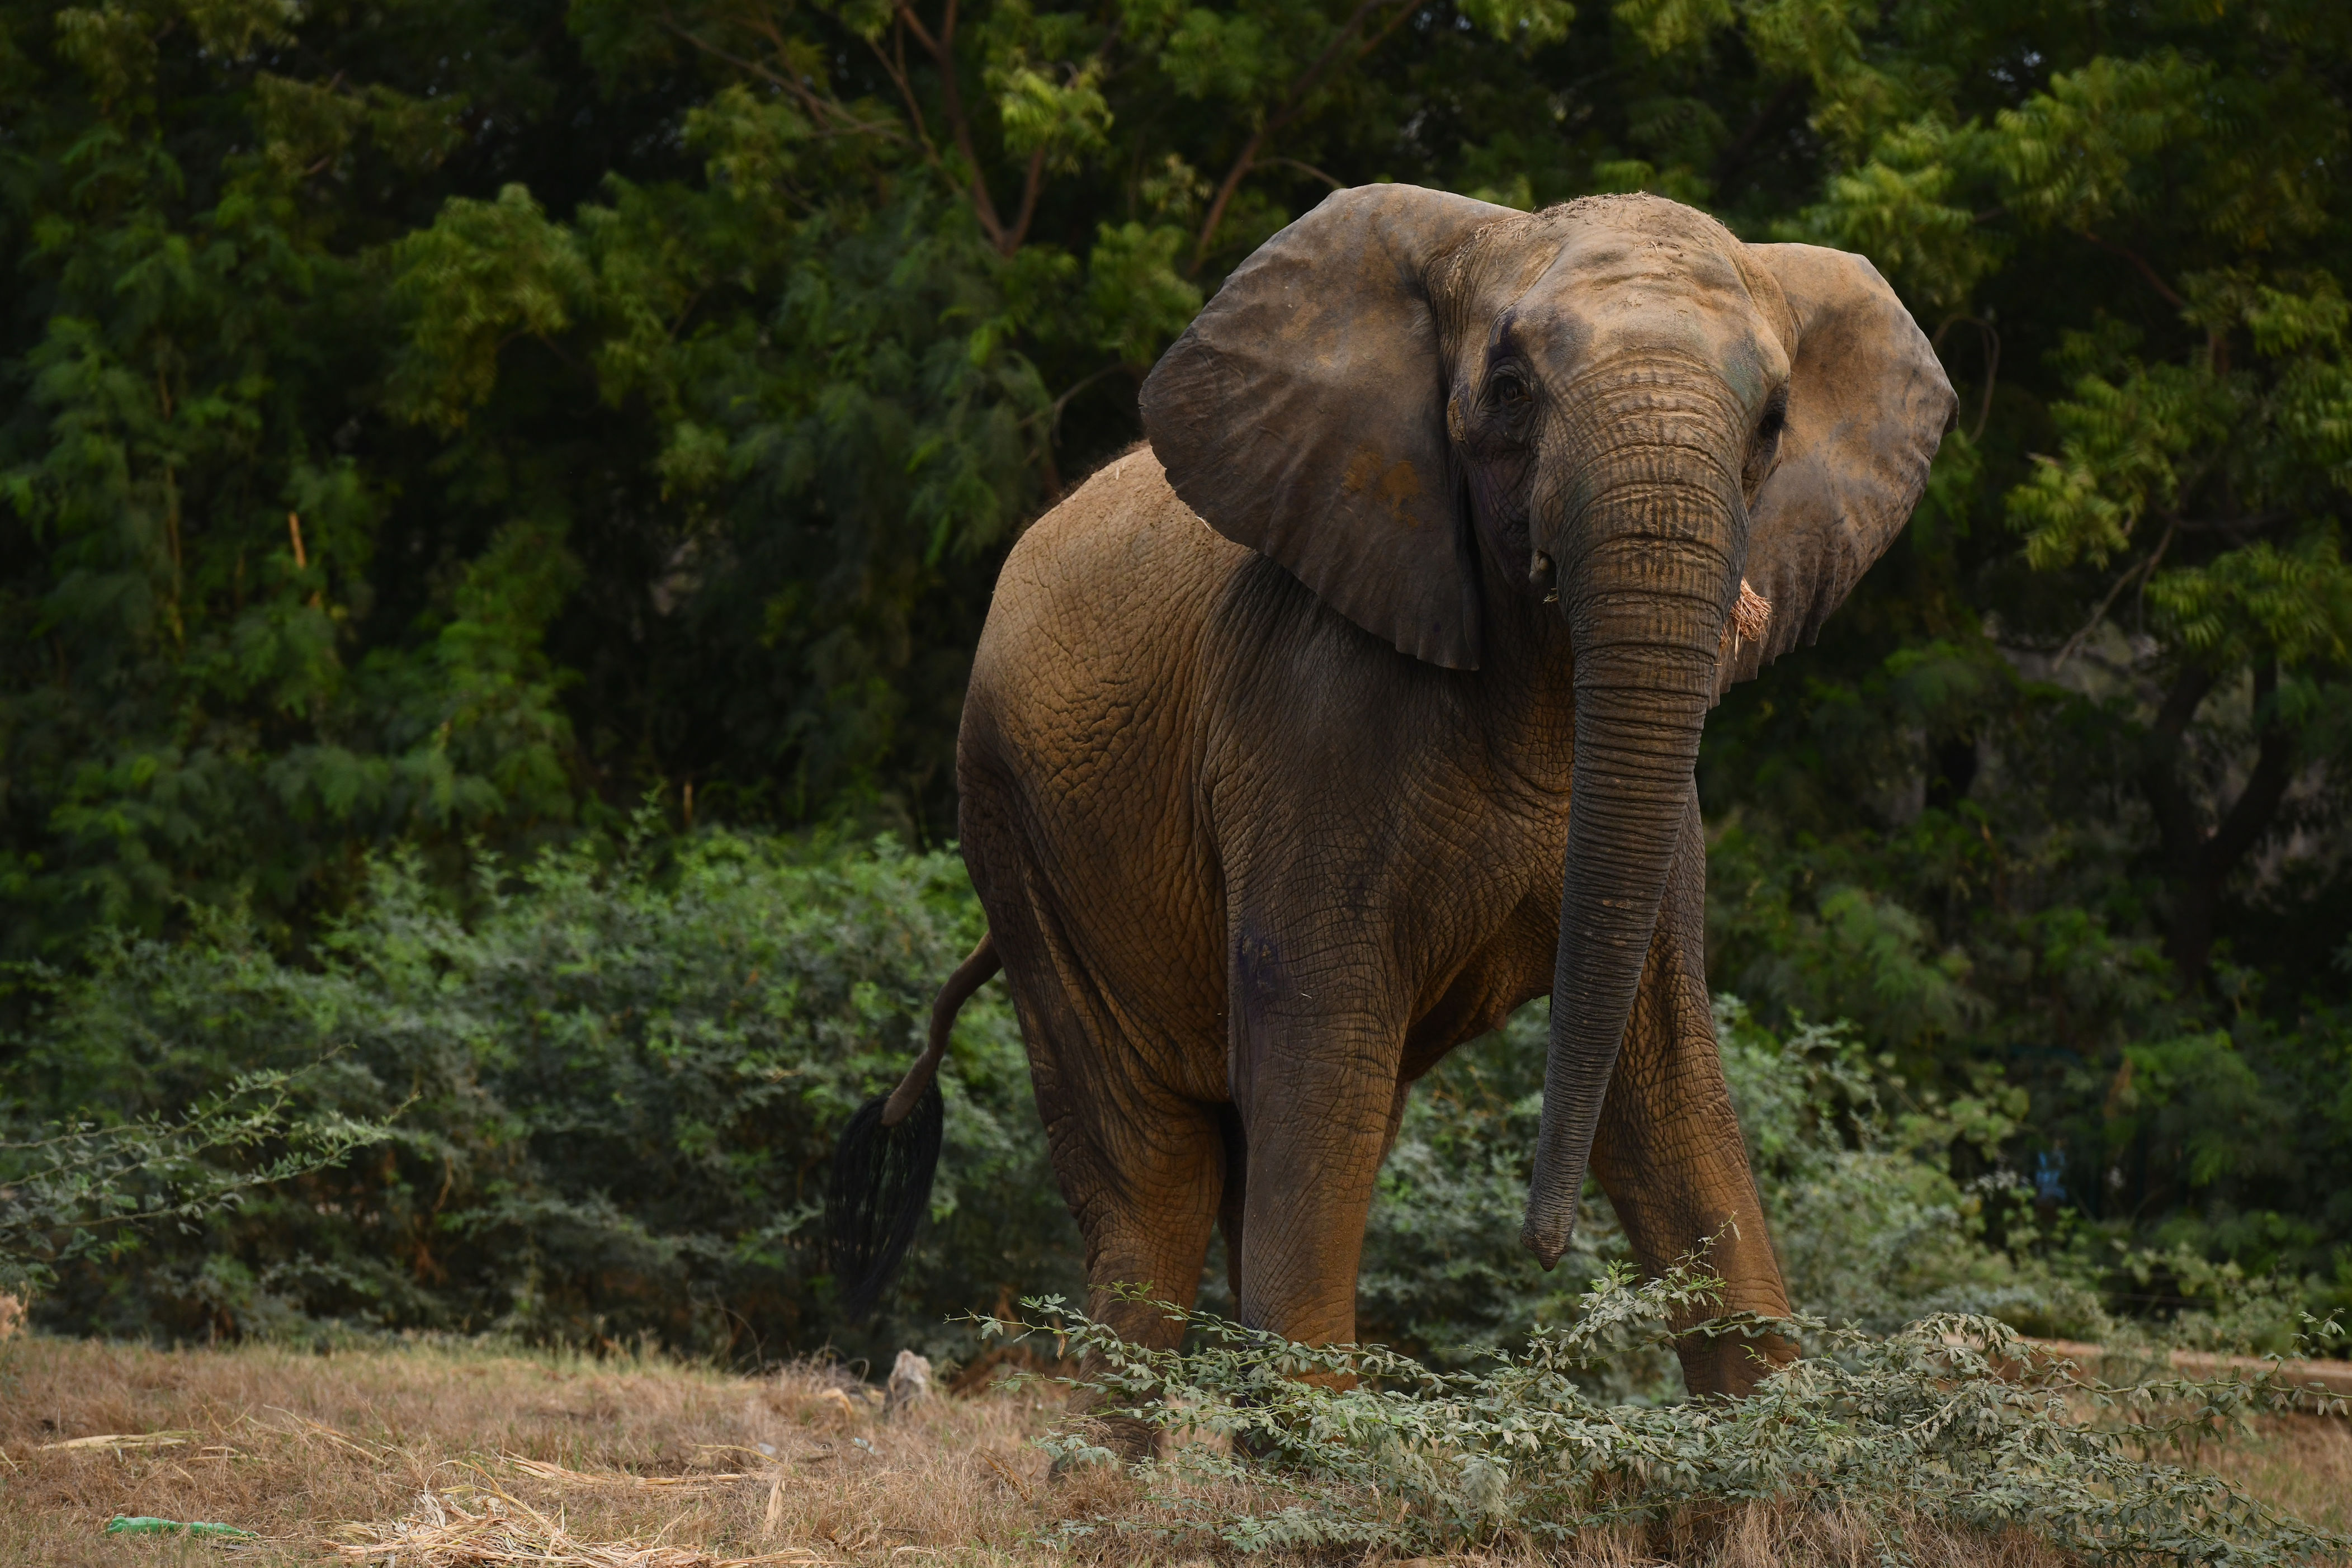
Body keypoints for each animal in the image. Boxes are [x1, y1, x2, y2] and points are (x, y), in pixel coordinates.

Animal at [830, 185, 1954, 1404]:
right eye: (1509, 389)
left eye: (1773, 421)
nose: (1543, 1248)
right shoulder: (1307, 714)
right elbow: (1321, 1047)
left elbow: (1667, 1088)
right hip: (1019, 838)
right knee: (1164, 1178)